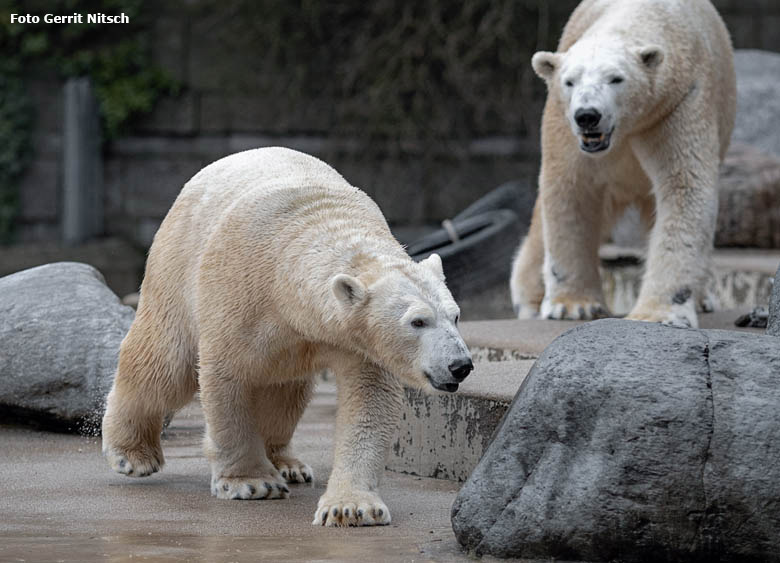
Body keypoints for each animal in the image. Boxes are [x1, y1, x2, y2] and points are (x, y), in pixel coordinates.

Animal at [100, 148, 472, 528]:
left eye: (455, 315)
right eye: (417, 321)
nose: (460, 365)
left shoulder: (350, 340)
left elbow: (370, 399)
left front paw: (351, 507)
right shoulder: (238, 293)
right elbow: (225, 375)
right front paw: (251, 483)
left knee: (285, 392)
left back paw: (288, 464)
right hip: (177, 260)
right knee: (164, 365)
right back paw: (133, 455)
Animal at [508, 0, 736, 328]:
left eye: (616, 78)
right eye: (570, 81)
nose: (587, 115)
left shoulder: (678, 104)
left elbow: (684, 189)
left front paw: (658, 314)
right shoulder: (563, 124)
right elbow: (571, 188)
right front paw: (573, 306)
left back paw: (704, 297)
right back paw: (530, 298)